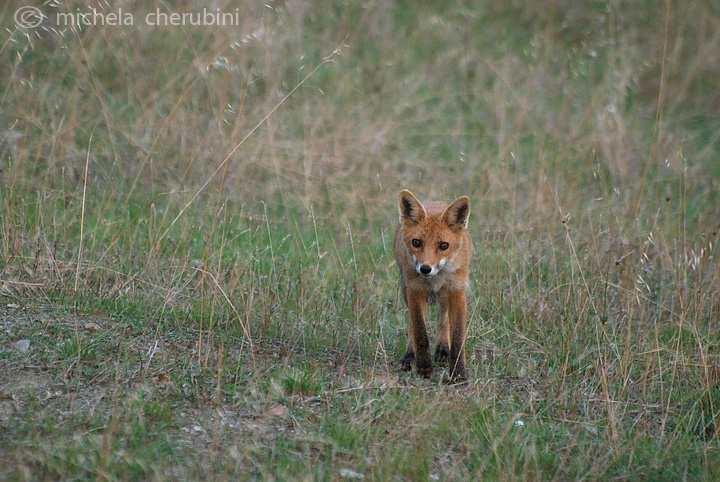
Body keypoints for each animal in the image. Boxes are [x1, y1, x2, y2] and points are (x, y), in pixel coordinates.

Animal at [394, 190, 472, 382]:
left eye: (444, 245)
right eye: (416, 242)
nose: (425, 268)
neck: (436, 279)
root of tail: (434, 202)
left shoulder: (457, 292)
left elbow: (457, 337)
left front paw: (458, 373)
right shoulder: (415, 290)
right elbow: (420, 332)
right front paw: (424, 367)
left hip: (445, 296)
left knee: (443, 319)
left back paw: (443, 351)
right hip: (405, 288)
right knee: (412, 325)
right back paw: (410, 356)